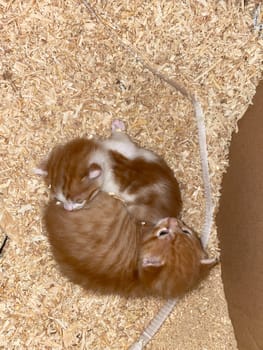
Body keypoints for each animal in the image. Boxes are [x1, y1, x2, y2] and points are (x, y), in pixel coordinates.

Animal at [36, 120, 183, 223]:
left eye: (79, 201)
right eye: (58, 199)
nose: (68, 209)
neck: (106, 157)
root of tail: (174, 213)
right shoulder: (121, 145)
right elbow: (122, 136)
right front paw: (117, 125)